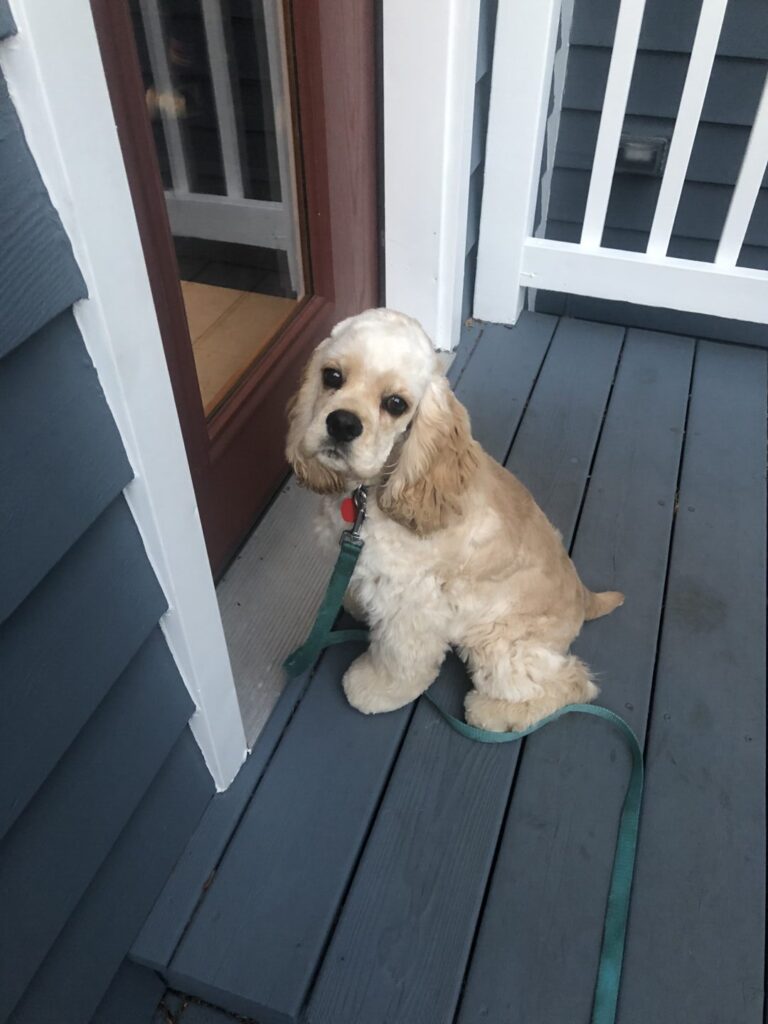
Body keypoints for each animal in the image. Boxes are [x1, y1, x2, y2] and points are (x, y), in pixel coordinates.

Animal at [286, 307, 622, 733]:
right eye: (332, 376)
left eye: (396, 403)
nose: (342, 424)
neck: (372, 491)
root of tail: (583, 596)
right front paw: (356, 606)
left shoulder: (414, 601)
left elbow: (399, 658)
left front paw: (374, 689)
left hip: (499, 642)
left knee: (572, 683)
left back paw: (494, 713)